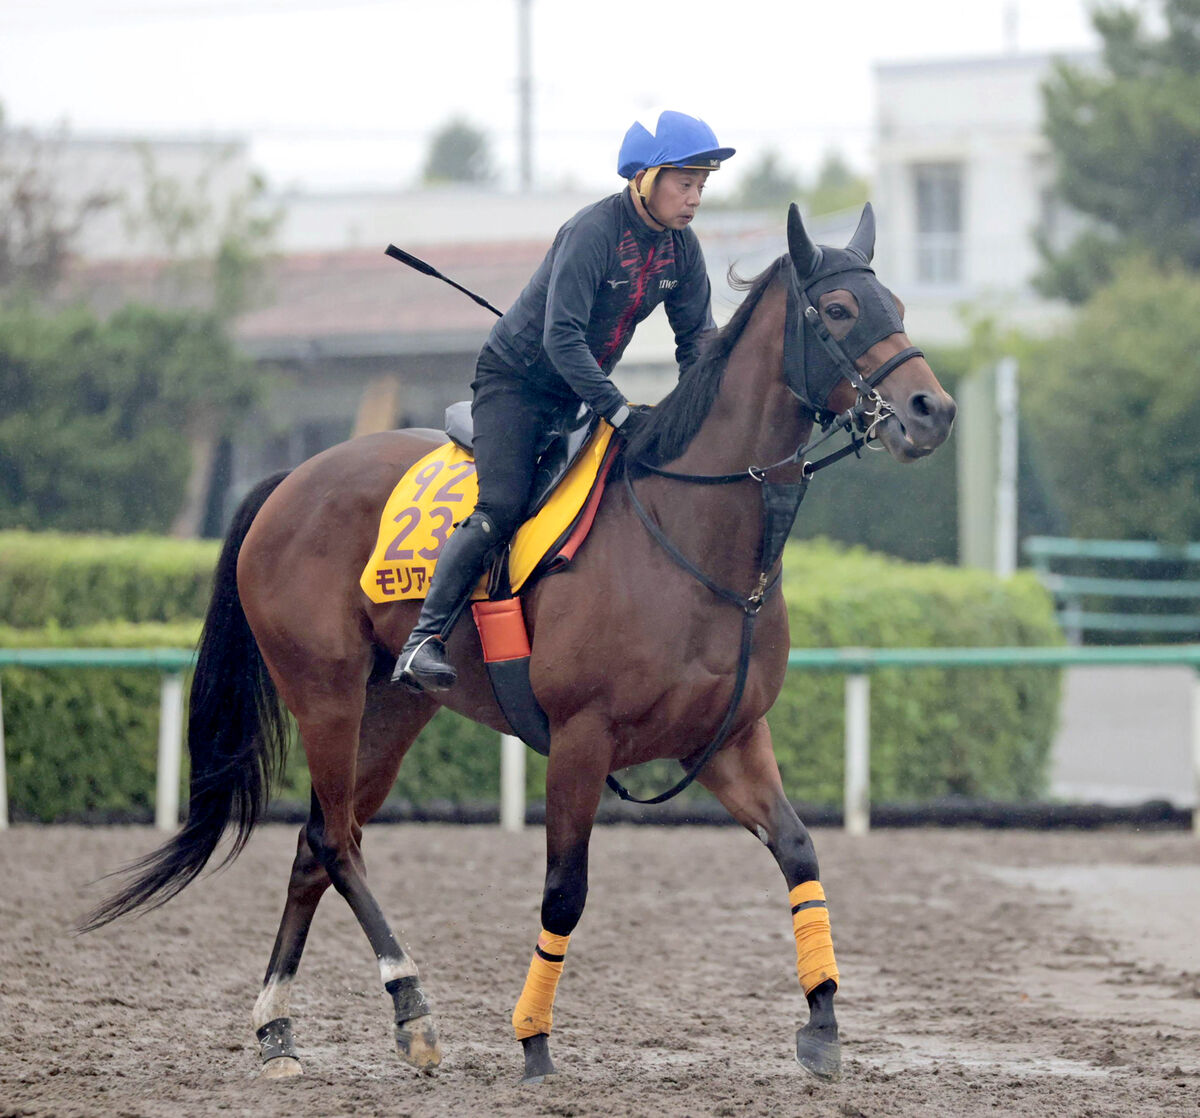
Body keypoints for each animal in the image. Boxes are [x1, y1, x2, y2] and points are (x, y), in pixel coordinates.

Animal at [84, 200, 955, 1084]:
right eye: (838, 310)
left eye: (899, 307)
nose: (933, 410)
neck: (688, 533)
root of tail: (287, 482)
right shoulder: (582, 737)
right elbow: (564, 890)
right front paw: (533, 1038)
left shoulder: (728, 738)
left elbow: (799, 851)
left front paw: (823, 1021)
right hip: (325, 694)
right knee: (336, 841)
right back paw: (411, 1004)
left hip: (393, 709)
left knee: (315, 844)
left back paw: (278, 1031)